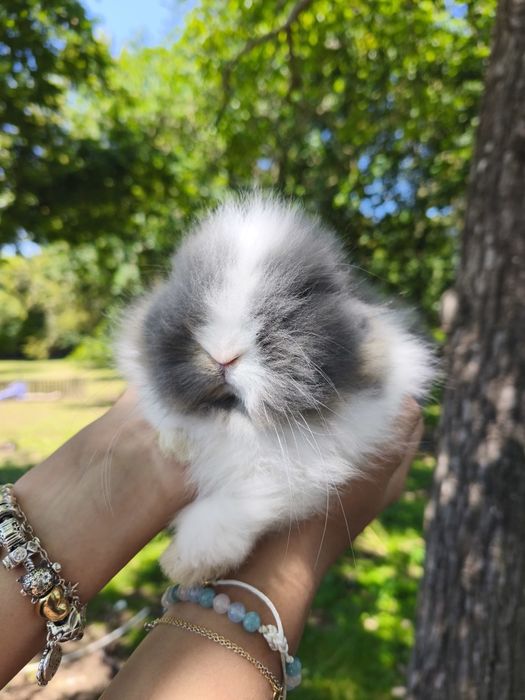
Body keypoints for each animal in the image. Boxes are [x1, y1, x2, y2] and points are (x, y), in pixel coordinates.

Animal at [116, 193, 434, 585]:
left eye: (302, 296)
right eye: (184, 286)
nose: (223, 355)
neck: (237, 427)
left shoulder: (312, 466)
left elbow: (251, 497)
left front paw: (185, 563)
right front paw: (177, 441)